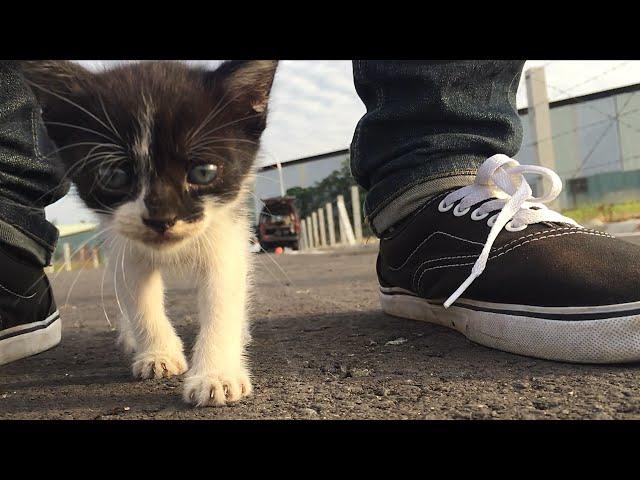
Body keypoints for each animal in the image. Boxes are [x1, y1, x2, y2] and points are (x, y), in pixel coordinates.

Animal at [20, 59, 278, 404]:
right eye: (113, 175)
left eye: (203, 172)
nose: (161, 217)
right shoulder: (122, 242)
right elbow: (138, 295)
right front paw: (159, 353)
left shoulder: (225, 230)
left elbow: (223, 293)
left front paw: (216, 375)